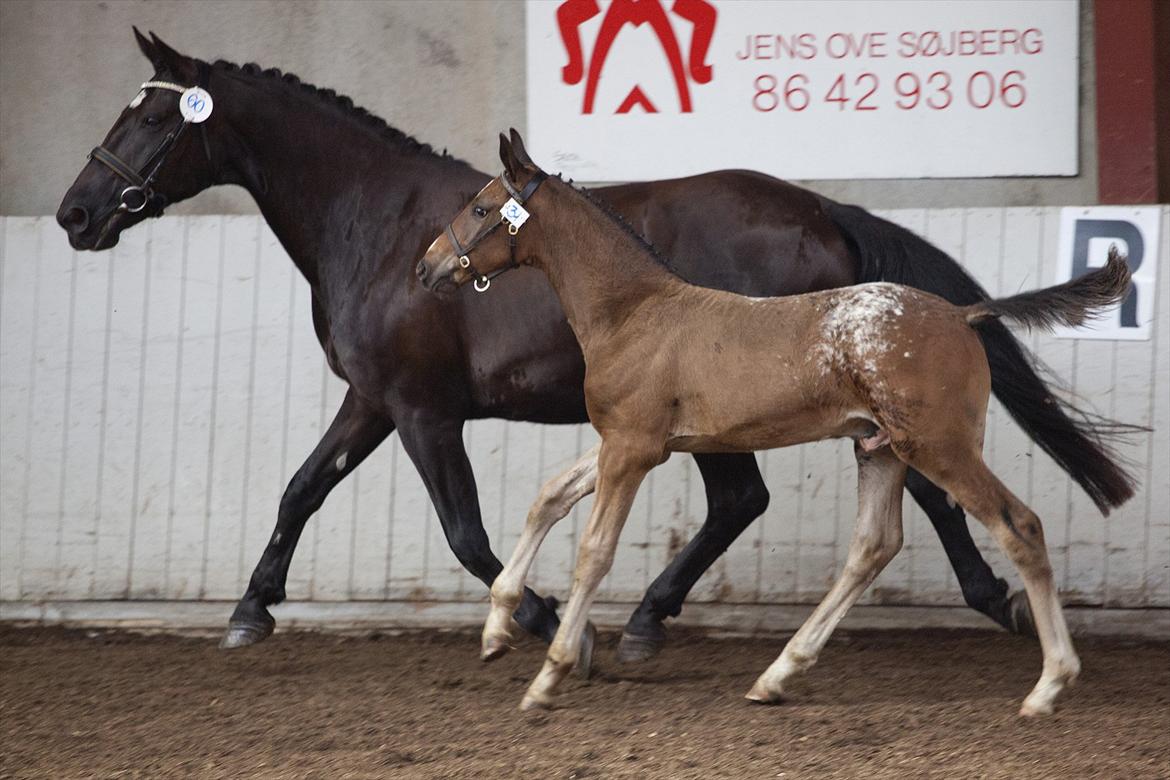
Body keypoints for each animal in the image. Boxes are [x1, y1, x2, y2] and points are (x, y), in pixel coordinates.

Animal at [57, 33, 1132, 659]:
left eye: (153, 114)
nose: (75, 214)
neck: (386, 227)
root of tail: (823, 212)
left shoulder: (423, 411)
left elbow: (464, 532)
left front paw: (532, 616)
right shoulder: (371, 401)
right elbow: (300, 490)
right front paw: (251, 611)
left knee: (771, 497)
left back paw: (653, 620)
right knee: (882, 488)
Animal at [416, 135, 1127, 720]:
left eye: (481, 209)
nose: (426, 267)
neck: (634, 313)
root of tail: (962, 315)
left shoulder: (633, 450)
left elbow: (594, 551)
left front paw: (549, 676)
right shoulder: (628, 442)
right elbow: (549, 498)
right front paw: (496, 632)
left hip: (940, 446)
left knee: (1018, 526)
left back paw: (1048, 685)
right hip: (881, 449)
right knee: (874, 547)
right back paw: (777, 676)